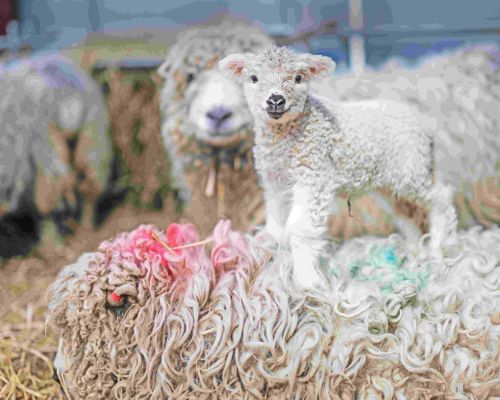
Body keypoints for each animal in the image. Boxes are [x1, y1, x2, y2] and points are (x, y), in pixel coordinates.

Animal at [219, 47, 458, 290]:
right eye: (254, 78)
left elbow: (299, 228)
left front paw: (307, 281)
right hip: (389, 181)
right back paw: (413, 249)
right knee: (404, 212)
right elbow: (276, 225)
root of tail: (424, 124)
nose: (276, 100)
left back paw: (439, 245)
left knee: (441, 197)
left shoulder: (313, 175)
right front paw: (274, 258)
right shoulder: (274, 182)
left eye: (299, 78)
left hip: (411, 168)